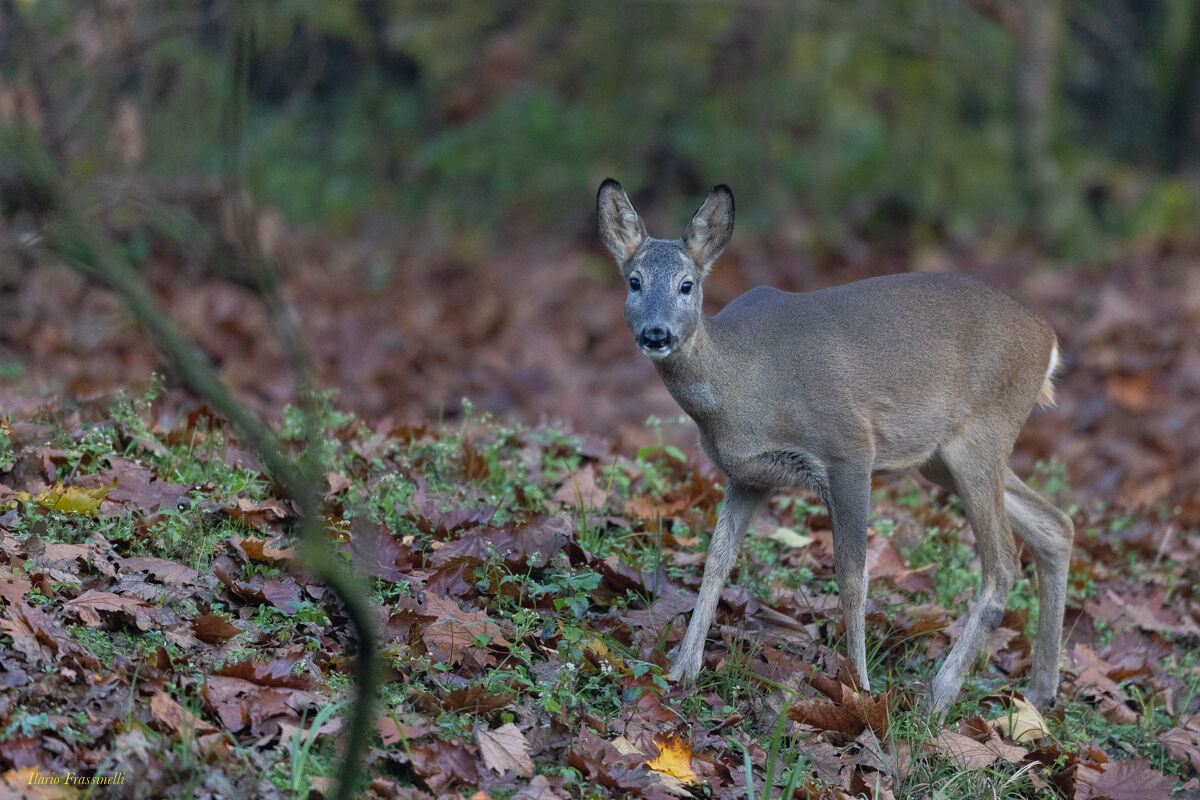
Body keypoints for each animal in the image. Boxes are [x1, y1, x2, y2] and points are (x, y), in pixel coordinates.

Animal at [596, 179, 1074, 712]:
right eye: (634, 281)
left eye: (686, 284)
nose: (656, 333)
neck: (740, 385)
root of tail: (1050, 341)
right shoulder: (748, 474)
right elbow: (716, 560)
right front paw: (683, 668)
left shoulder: (849, 449)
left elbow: (851, 577)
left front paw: (860, 690)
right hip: (942, 457)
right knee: (1056, 524)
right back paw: (1039, 692)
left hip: (981, 435)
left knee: (1003, 566)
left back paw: (938, 697)